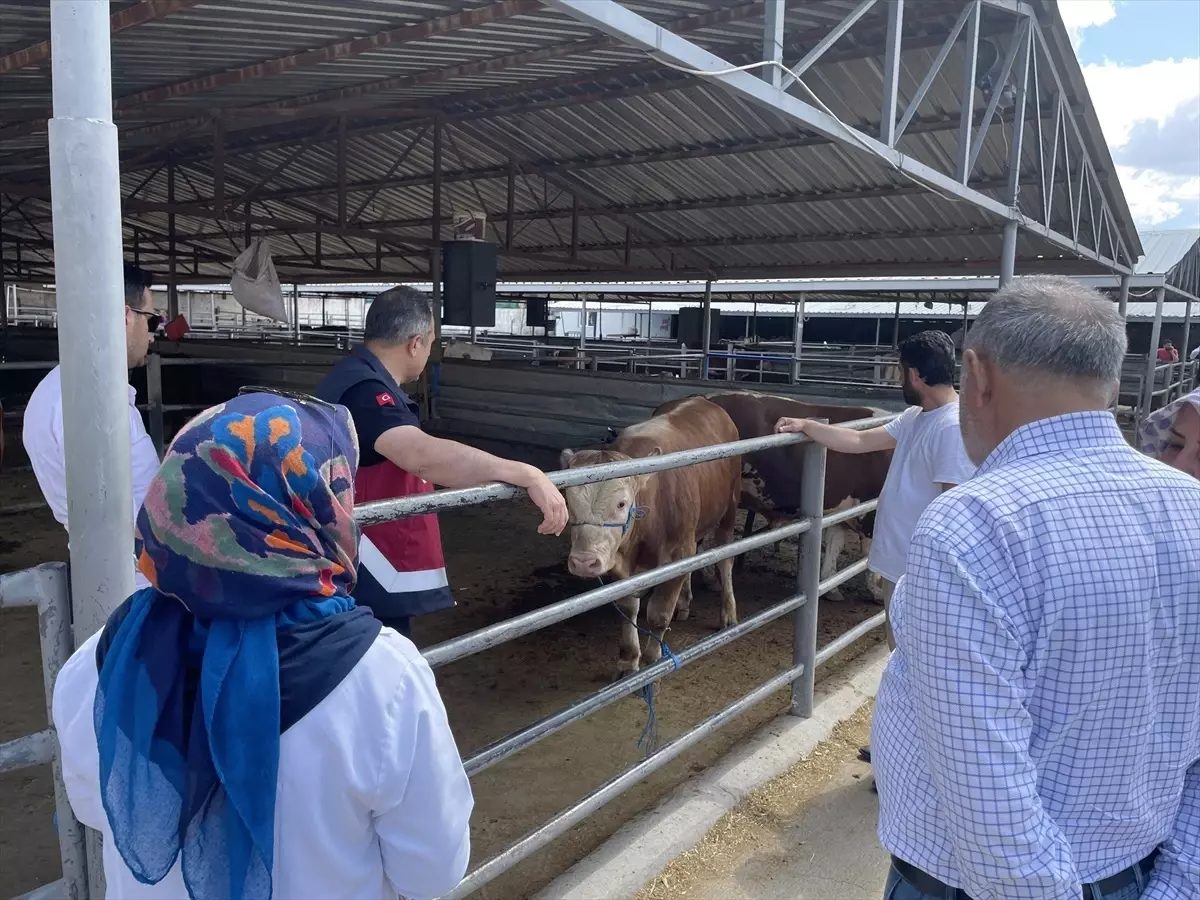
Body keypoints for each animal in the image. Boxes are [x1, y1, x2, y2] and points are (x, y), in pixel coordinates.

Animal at [559, 396, 739, 676]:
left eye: (622, 503)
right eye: (569, 502)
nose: (584, 562)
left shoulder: (678, 552)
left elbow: (658, 613)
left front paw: (653, 659)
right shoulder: (618, 561)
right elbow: (627, 607)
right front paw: (628, 659)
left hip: (729, 506)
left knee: (725, 559)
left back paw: (728, 612)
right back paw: (684, 602)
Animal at [705, 393, 897, 600]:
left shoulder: (841, 513)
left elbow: (834, 546)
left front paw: (831, 588)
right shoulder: (871, 512)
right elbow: (870, 554)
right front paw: (878, 591)